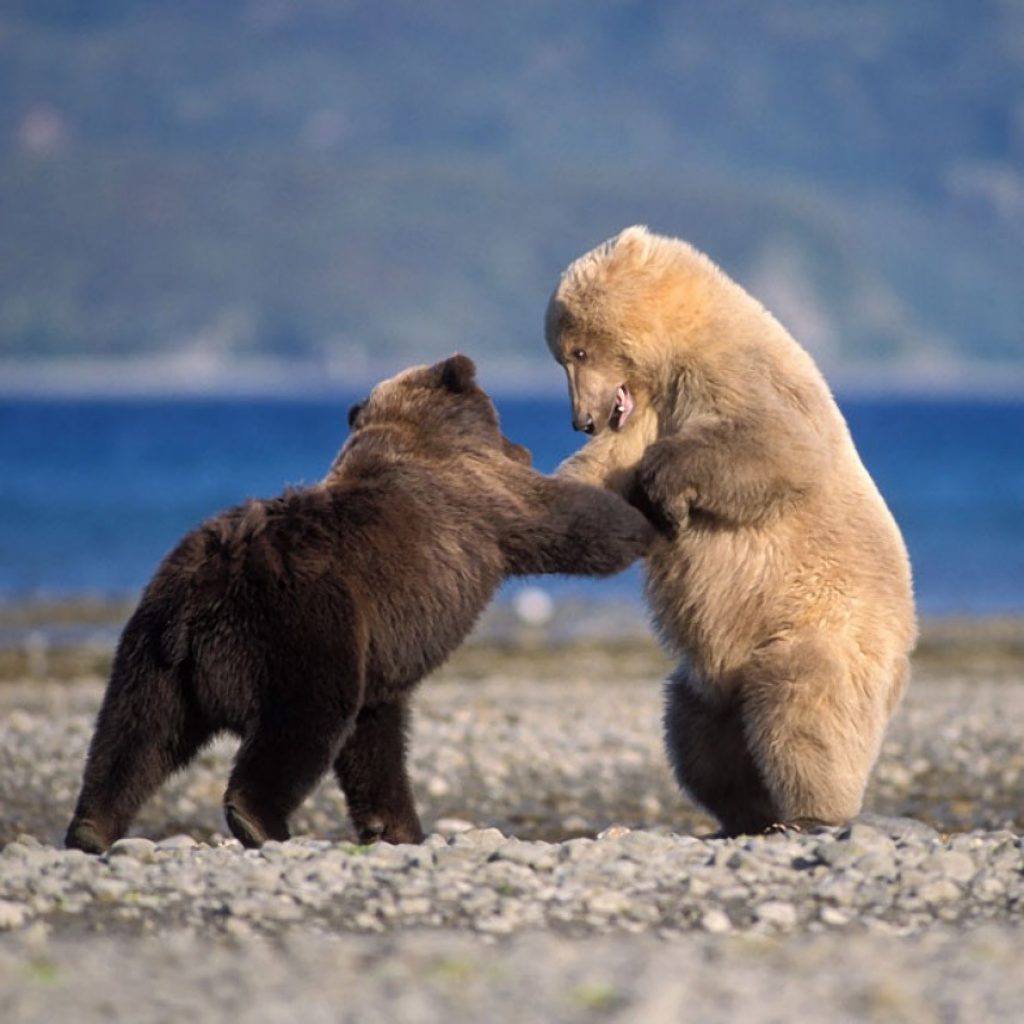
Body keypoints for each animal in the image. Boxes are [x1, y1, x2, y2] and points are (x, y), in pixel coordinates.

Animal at [66, 356, 655, 851]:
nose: (524, 448)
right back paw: (258, 821)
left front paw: (393, 827)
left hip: (154, 642)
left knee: (135, 732)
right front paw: (644, 513)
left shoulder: (382, 655)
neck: (413, 430)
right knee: (302, 720)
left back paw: (92, 827)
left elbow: (374, 746)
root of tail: (206, 595)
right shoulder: (481, 497)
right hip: (304, 626)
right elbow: (573, 521)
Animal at [548, 228, 917, 835]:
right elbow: (603, 475)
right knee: (697, 733)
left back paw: (810, 812)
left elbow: (776, 445)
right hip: (712, 681)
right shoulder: (647, 412)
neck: (675, 355)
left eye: (576, 351)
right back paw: (743, 811)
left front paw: (666, 489)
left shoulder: (738, 376)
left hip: (823, 626)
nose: (582, 418)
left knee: (803, 707)